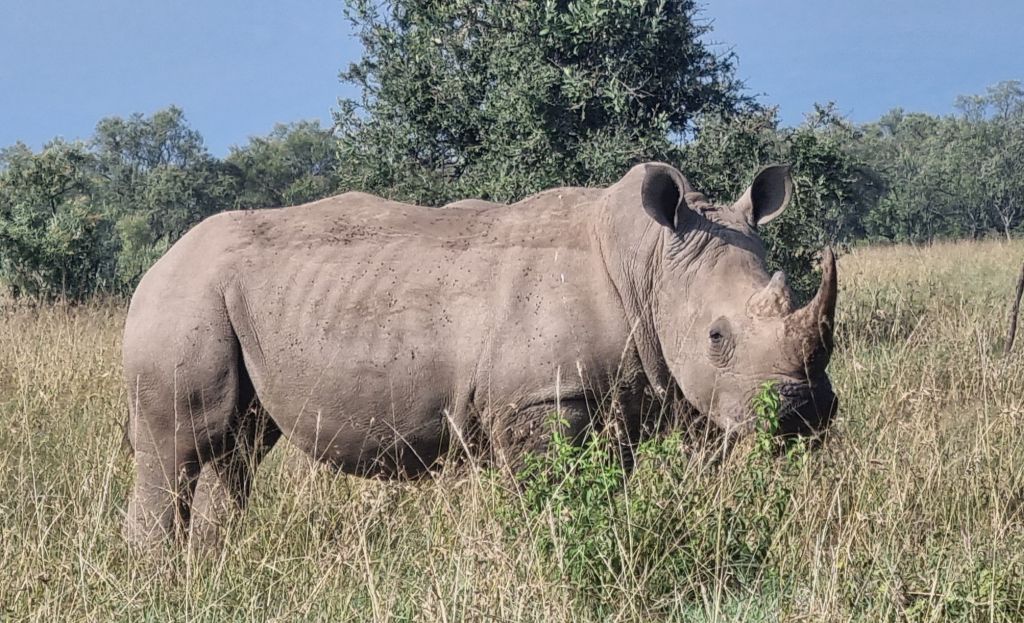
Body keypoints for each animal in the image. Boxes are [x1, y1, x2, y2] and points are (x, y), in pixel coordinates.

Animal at [122, 162, 838, 546]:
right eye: (717, 337)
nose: (800, 410)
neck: (651, 263)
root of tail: (153, 266)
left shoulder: (644, 392)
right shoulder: (540, 399)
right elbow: (550, 499)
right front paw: (553, 556)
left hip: (222, 300)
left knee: (236, 448)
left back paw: (216, 564)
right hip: (182, 300)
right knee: (179, 444)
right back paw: (164, 580)